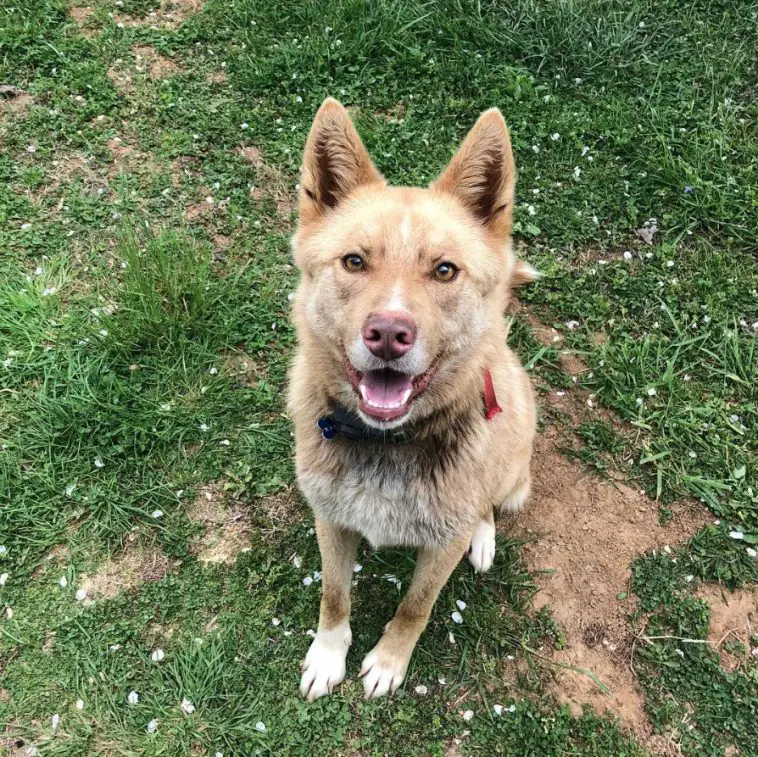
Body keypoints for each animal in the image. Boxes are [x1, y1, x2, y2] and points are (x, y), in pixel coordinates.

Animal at [288, 97, 536, 700]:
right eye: (354, 261)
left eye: (444, 269)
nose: (388, 333)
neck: (389, 443)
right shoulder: (330, 520)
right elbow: (334, 595)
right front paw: (328, 656)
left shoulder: (440, 547)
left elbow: (414, 608)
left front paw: (388, 662)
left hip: (512, 471)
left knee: (489, 505)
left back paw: (485, 537)